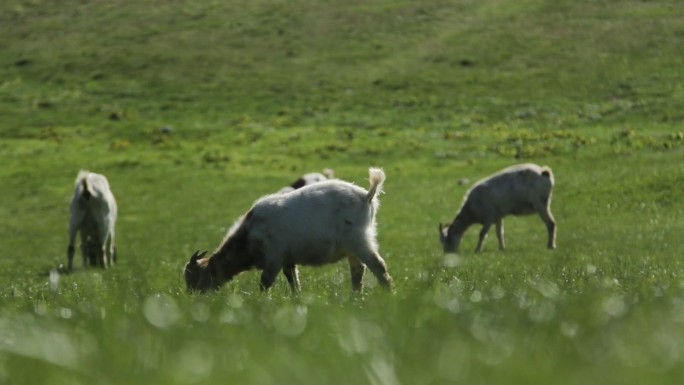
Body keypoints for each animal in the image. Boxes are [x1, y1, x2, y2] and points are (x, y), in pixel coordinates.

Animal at [184, 167, 392, 292]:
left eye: (194, 277)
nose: (192, 299)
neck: (250, 234)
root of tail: (366, 196)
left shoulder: (273, 259)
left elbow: (265, 284)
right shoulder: (288, 261)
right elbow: (294, 283)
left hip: (360, 241)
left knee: (378, 268)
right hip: (352, 249)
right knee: (358, 271)